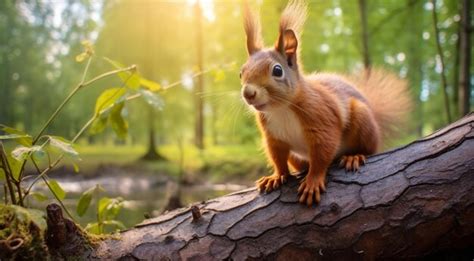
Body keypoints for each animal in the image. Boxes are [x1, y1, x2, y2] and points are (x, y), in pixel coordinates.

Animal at [241, 1, 412, 206]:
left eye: (277, 70)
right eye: (241, 72)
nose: (248, 93)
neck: (281, 109)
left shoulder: (321, 117)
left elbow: (322, 154)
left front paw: (313, 181)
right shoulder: (273, 136)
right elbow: (278, 157)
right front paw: (276, 176)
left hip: (363, 119)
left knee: (370, 149)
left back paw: (354, 156)